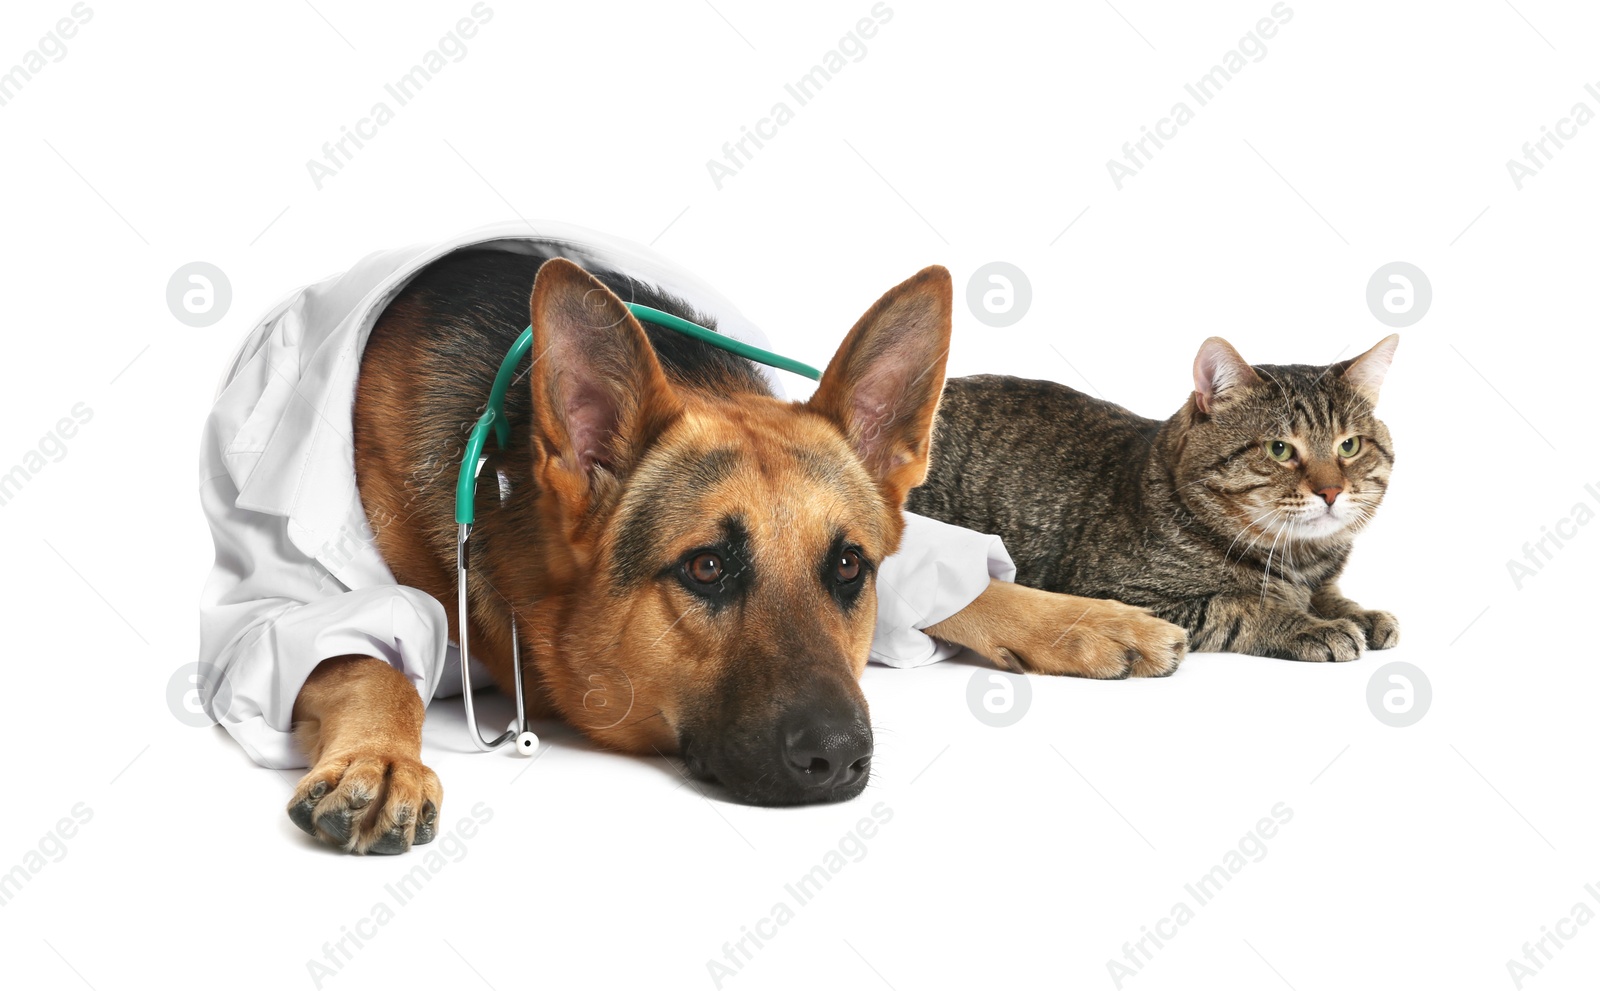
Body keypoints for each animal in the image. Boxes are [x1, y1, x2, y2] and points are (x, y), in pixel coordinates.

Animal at [288, 251, 1190, 858]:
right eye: (706, 567)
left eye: (849, 567)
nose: (841, 757)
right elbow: (360, 657)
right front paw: (380, 758)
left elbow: (964, 582)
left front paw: (1088, 620)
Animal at [915, 337, 1401, 662]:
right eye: (1279, 449)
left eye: (1349, 446)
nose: (1331, 491)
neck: (1300, 558)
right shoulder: (1118, 592)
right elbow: (1238, 606)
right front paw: (1312, 627)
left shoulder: (1320, 580)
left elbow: (1330, 596)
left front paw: (1362, 614)